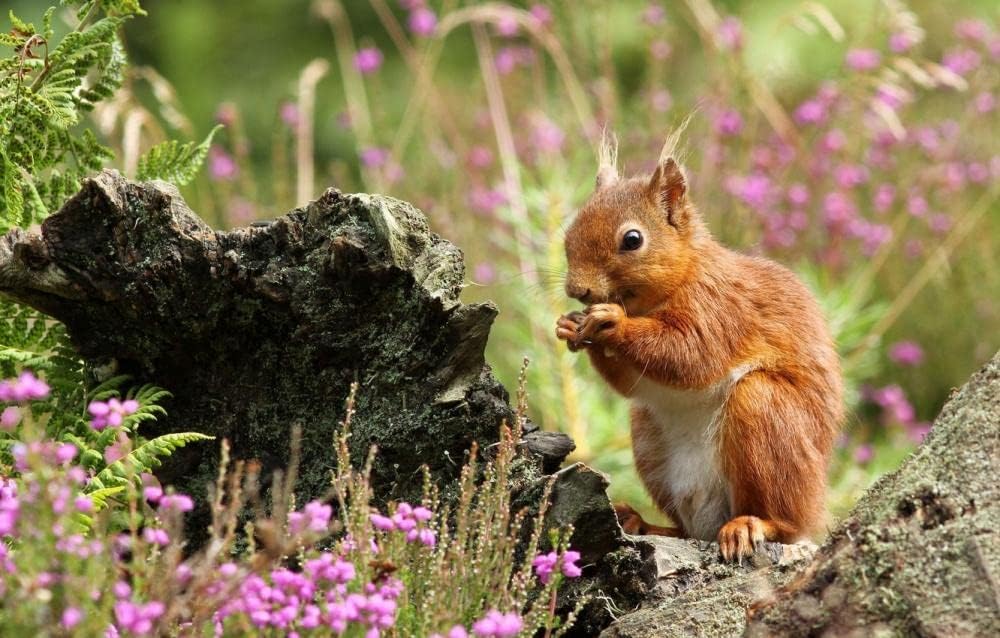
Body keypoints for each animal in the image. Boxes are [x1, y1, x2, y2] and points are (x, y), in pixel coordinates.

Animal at [555, 133, 843, 561]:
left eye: (632, 240)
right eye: (569, 231)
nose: (578, 290)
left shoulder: (720, 308)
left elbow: (689, 355)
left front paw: (612, 322)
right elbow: (632, 383)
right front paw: (569, 325)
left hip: (765, 412)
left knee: (785, 524)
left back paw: (750, 524)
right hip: (649, 441)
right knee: (684, 529)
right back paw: (643, 523)